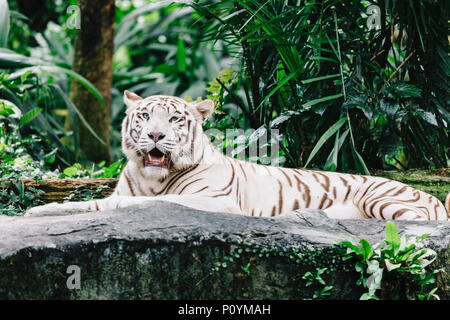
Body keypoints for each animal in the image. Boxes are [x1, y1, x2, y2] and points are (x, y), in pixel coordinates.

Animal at [25, 90, 450, 220]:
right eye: (144, 116)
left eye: (174, 118)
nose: (155, 134)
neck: (152, 179)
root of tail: (429, 194)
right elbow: (86, 204)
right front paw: (37, 212)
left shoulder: (215, 201)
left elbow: (139, 205)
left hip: (387, 200)